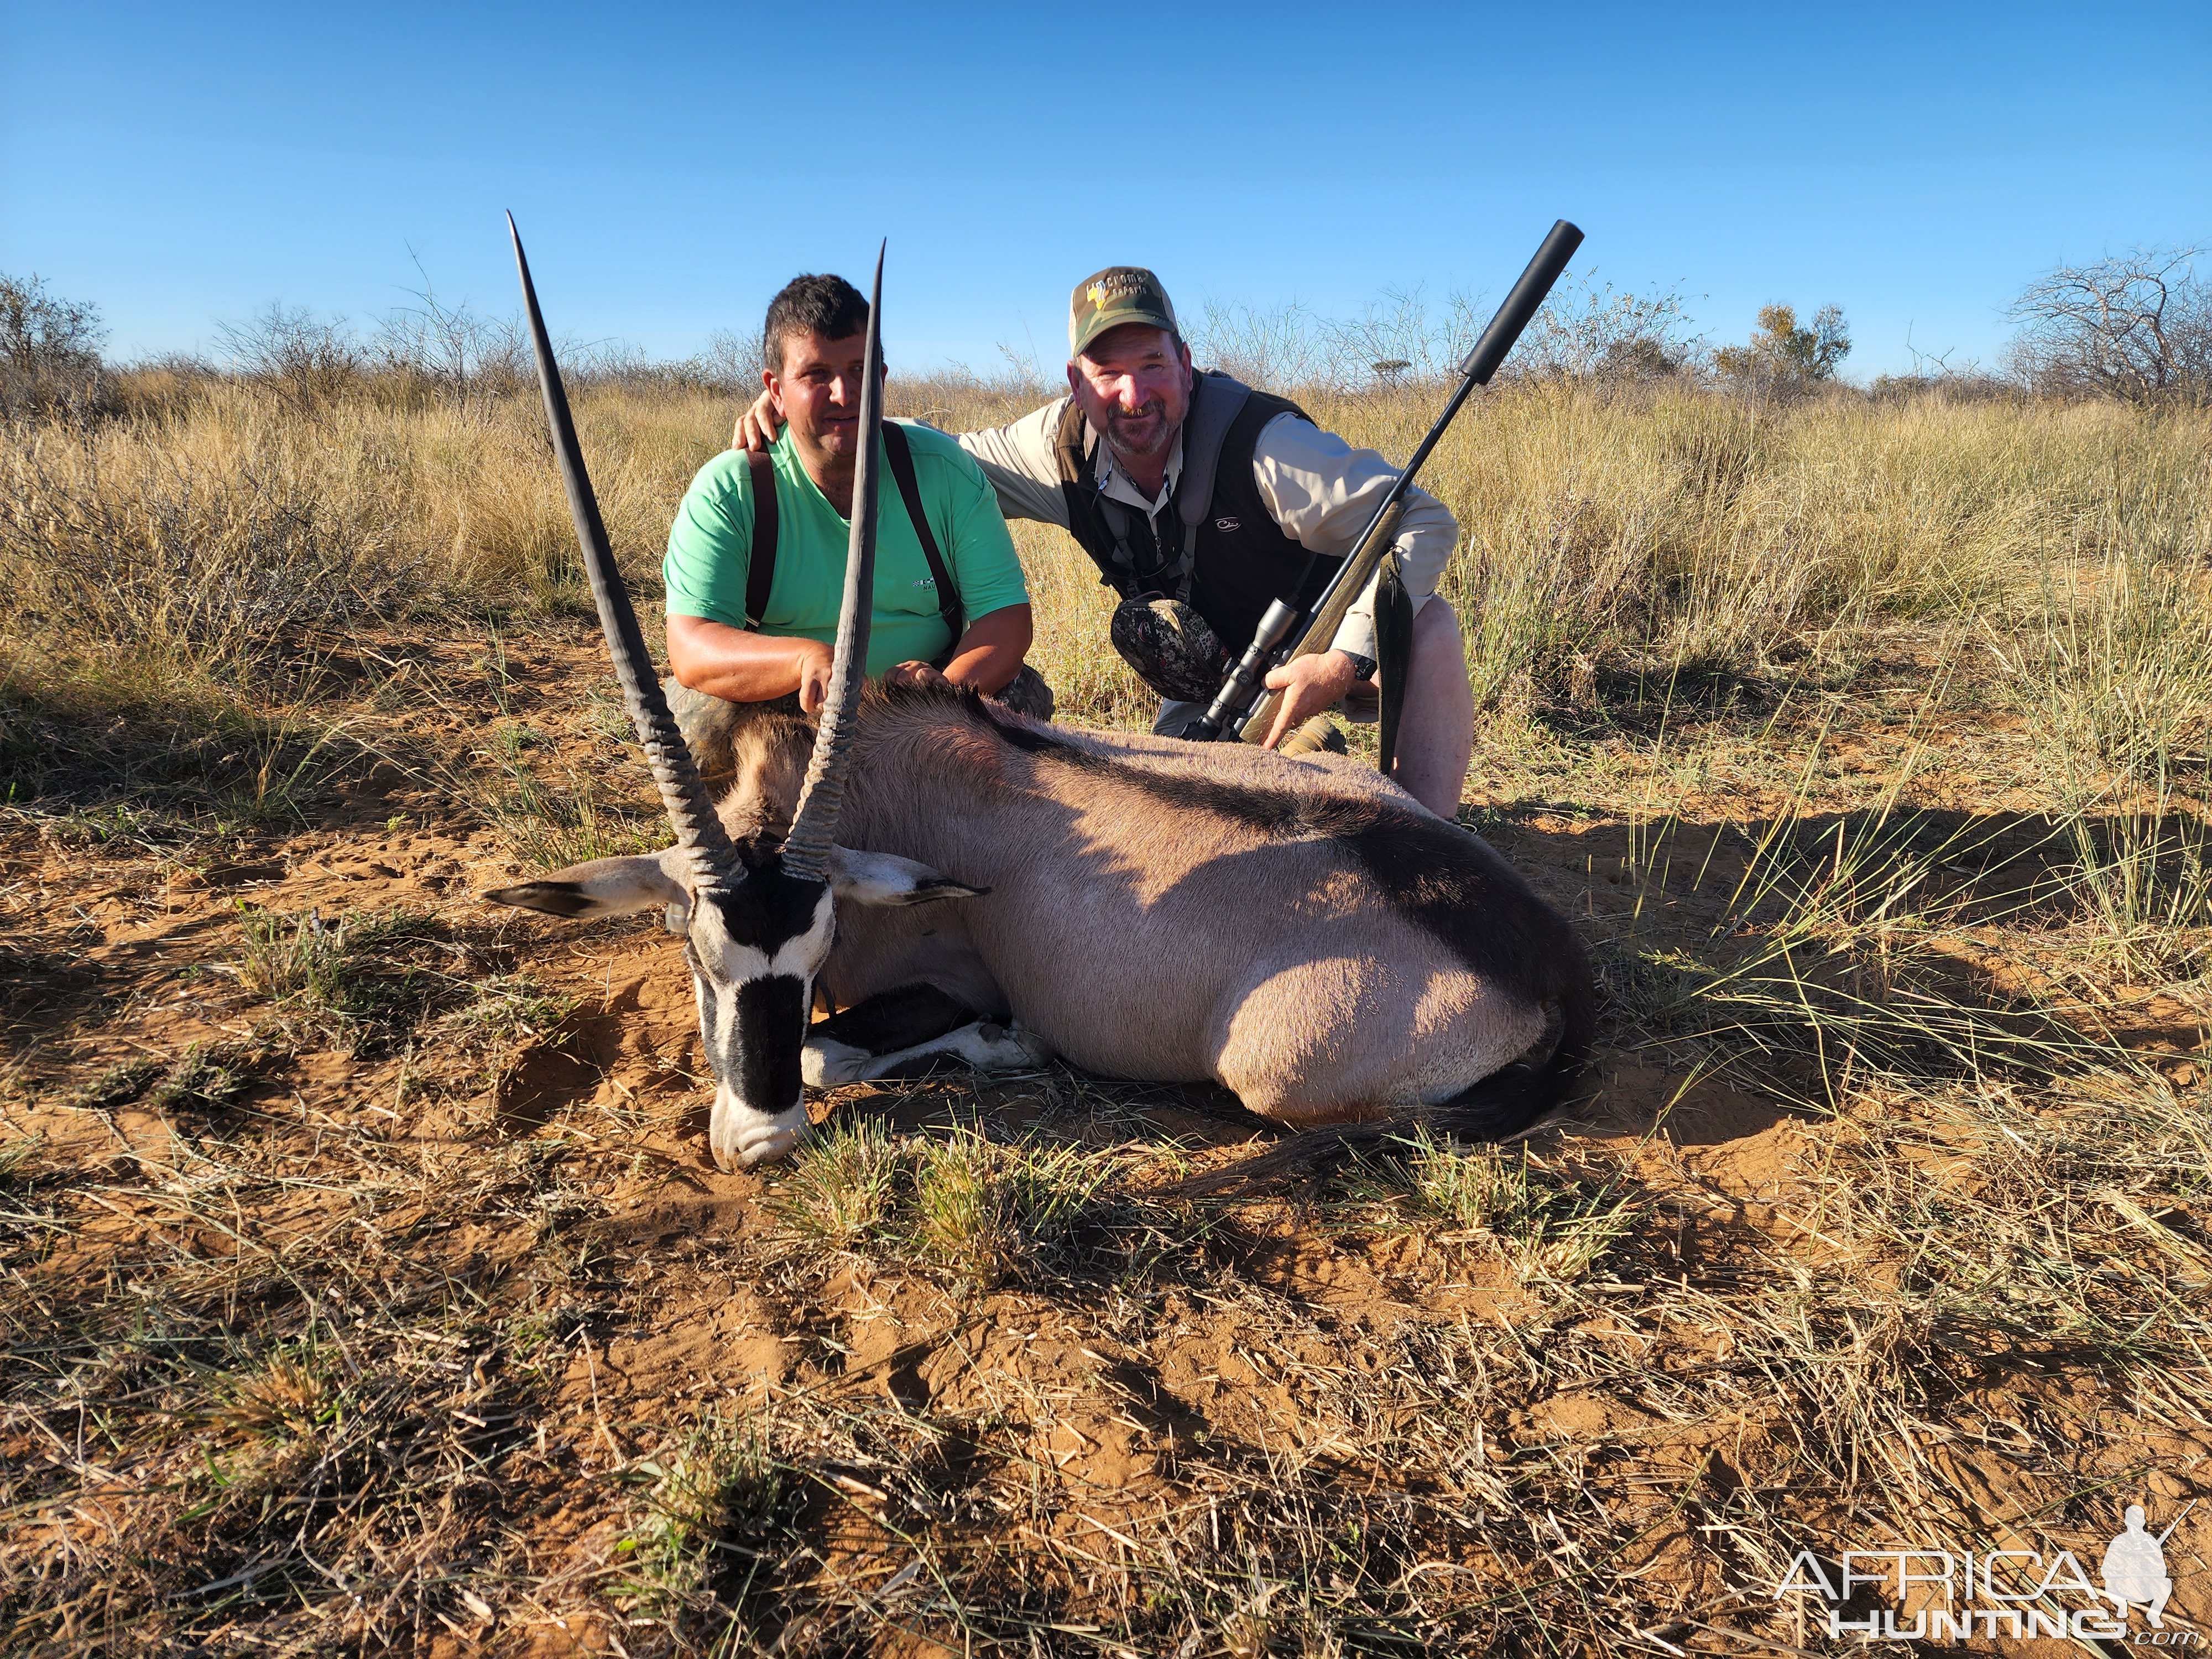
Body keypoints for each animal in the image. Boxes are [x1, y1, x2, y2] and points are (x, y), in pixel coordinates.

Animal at [484, 225, 1593, 1186]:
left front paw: (997, 1041)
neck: (883, 785)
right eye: (696, 953)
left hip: (1270, 1076)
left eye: (820, 943)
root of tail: (1547, 965)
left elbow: (820, 1053)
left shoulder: (943, 975)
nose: (763, 1146)